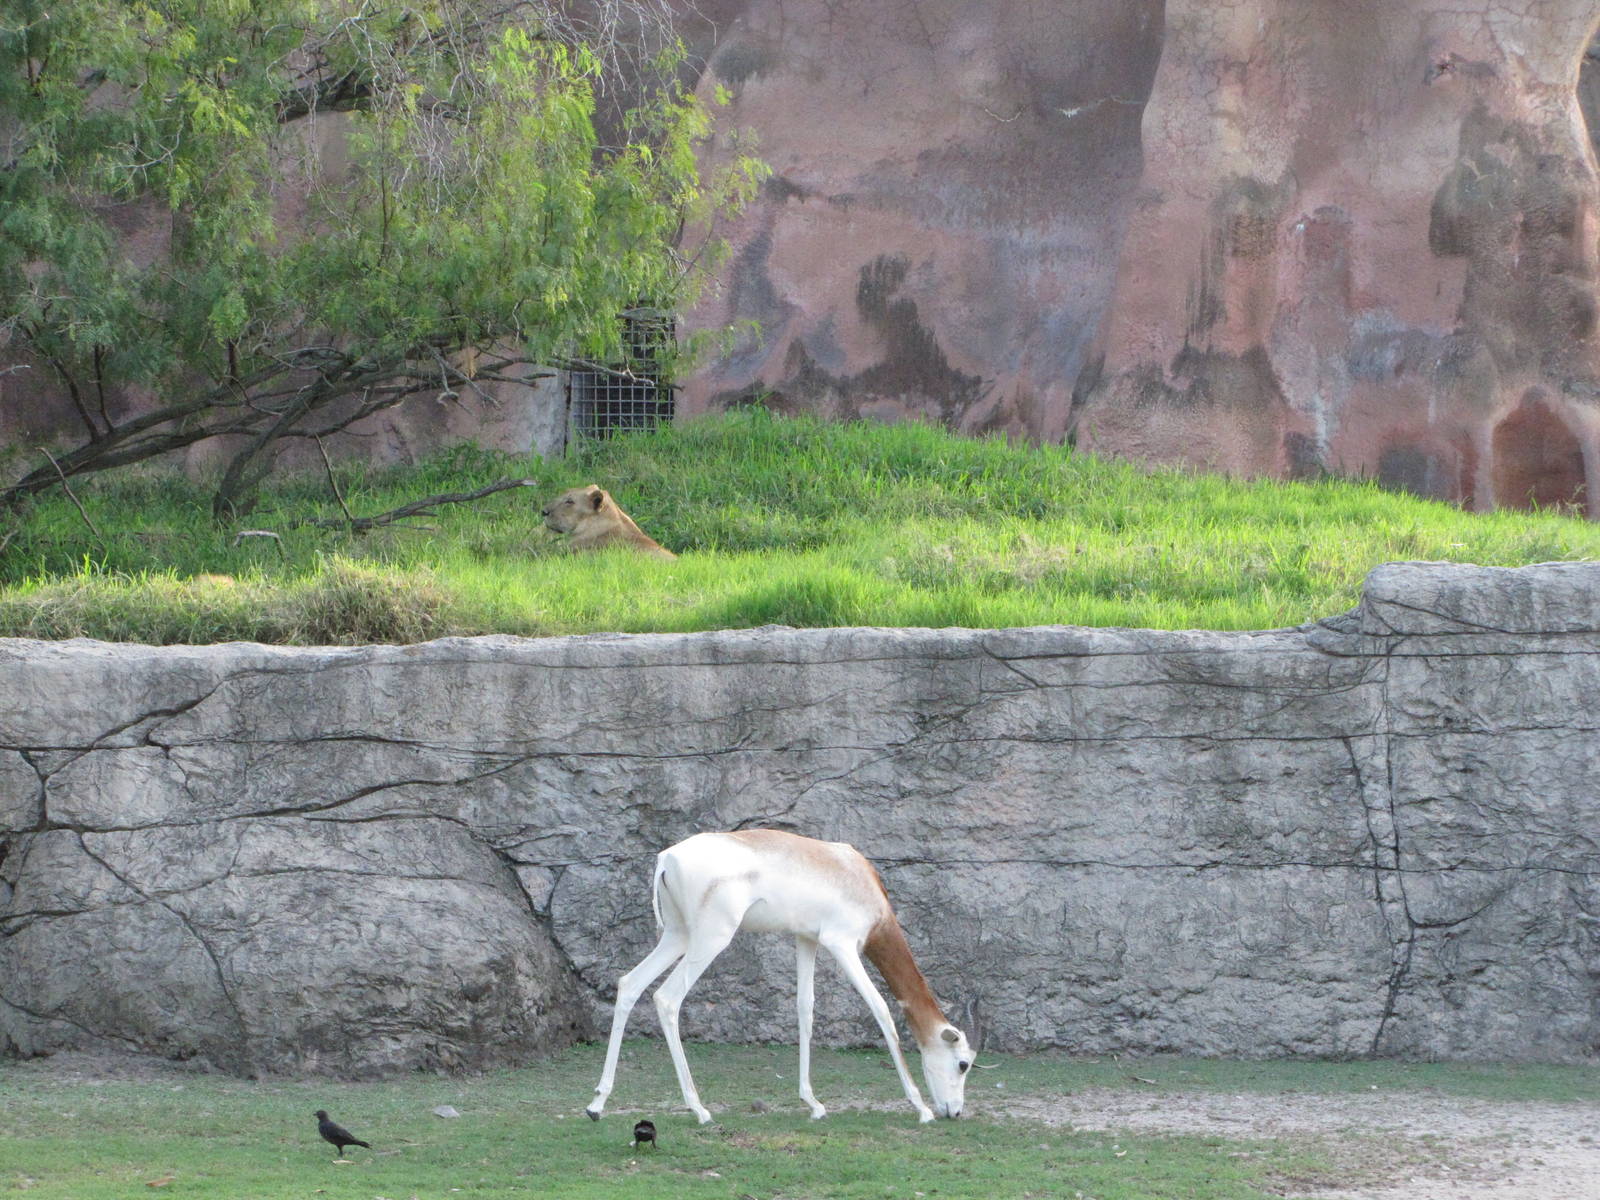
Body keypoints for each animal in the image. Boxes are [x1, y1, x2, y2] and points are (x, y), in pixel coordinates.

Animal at [584, 829, 973, 1125]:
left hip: (678, 935)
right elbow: (881, 1009)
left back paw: (597, 1104)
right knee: (667, 998)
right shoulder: (842, 943)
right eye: (963, 1064)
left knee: (630, 984)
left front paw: (814, 1104)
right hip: (711, 938)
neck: (858, 877)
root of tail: (667, 858)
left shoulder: (806, 939)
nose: (955, 1112)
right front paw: (921, 1108)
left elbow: (805, 1009)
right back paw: (699, 1109)